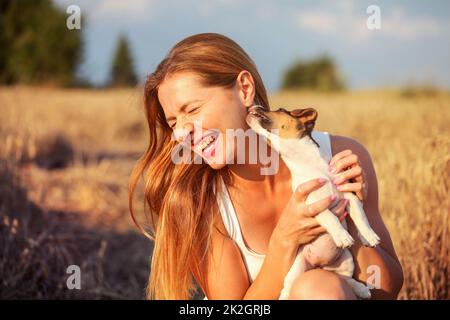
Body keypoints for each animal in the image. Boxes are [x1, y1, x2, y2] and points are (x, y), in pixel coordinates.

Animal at [246, 105, 380, 300]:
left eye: (280, 109)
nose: (254, 106)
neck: (307, 162)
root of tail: (320, 265)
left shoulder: (349, 195)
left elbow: (361, 216)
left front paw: (369, 235)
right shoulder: (311, 203)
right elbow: (330, 217)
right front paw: (342, 236)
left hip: (347, 261)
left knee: (345, 278)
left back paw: (361, 288)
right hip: (297, 267)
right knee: (289, 284)